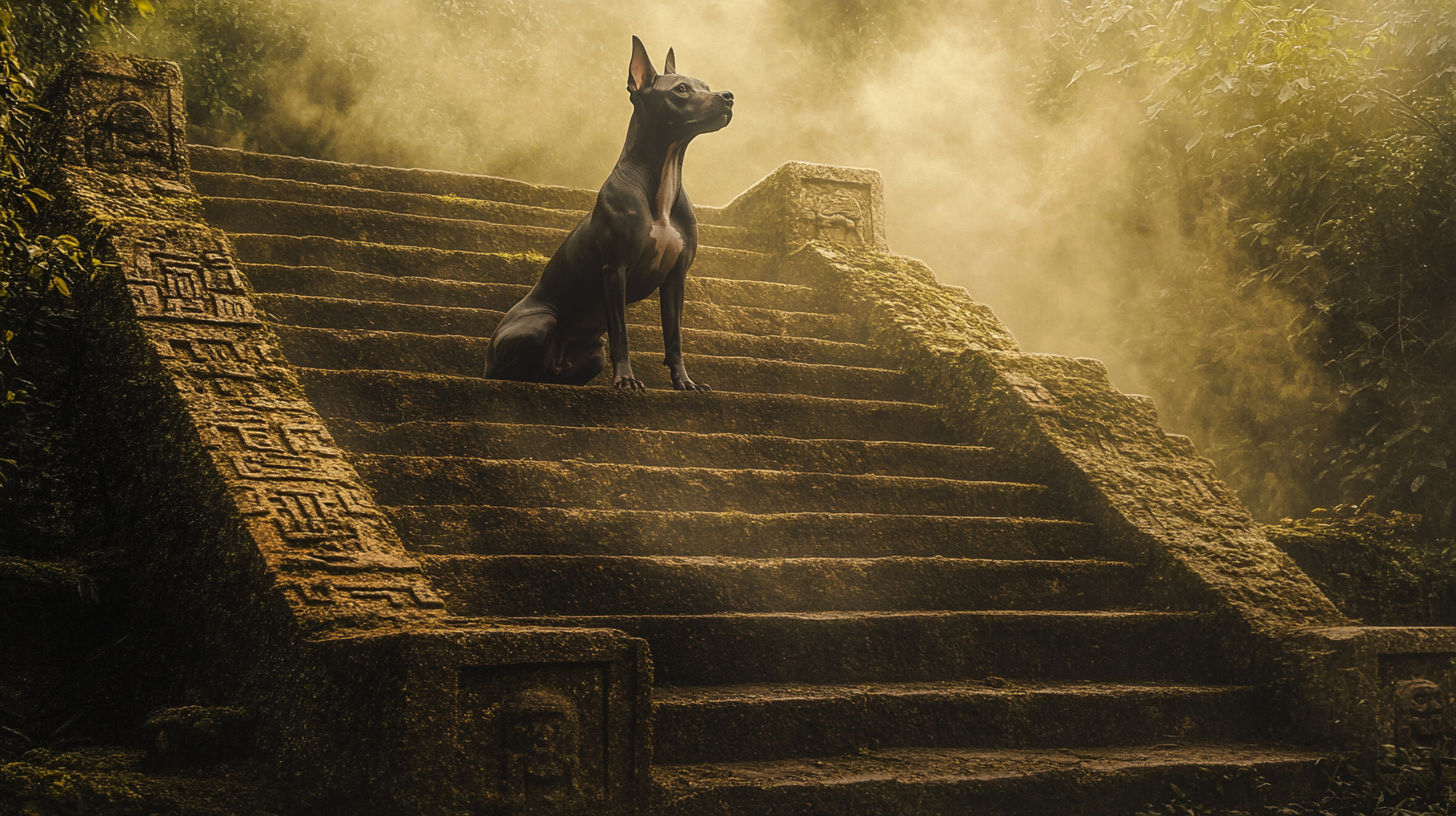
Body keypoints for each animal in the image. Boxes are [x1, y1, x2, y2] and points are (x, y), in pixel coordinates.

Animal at [486, 37, 739, 393]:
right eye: (681, 89)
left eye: (705, 85)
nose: (728, 96)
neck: (663, 183)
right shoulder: (615, 270)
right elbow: (622, 334)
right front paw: (626, 380)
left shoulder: (675, 279)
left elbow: (674, 337)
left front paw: (684, 381)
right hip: (540, 324)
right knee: (509, 370)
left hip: (595, 354)